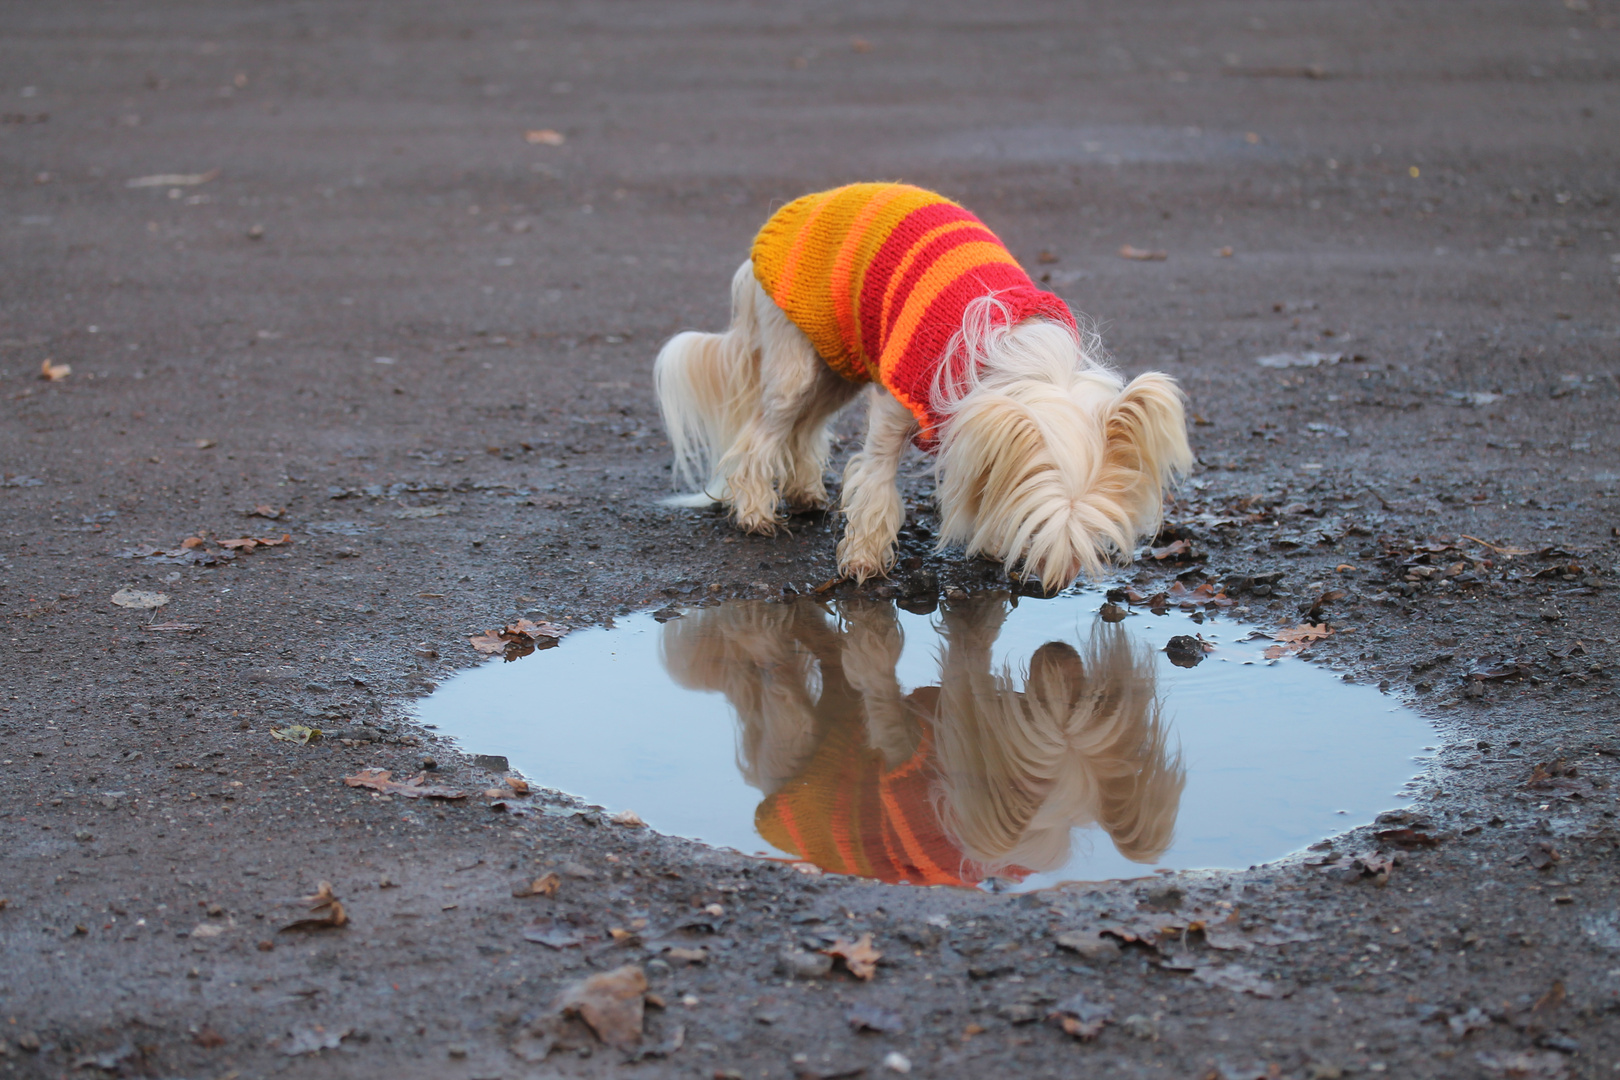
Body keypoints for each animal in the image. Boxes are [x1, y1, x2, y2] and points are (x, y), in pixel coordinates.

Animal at [651, 183, 1198, 592]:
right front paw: (864, 561)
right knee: (760, 435)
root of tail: (783, 220)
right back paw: (754, 513)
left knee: (804, 429)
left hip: (837, 365)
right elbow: (875, 484)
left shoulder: (977, 433)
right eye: (1036, 525)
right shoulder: (896, 406)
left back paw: (805, 494)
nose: (1055, 586)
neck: (1014, 352)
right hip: (797, 366)